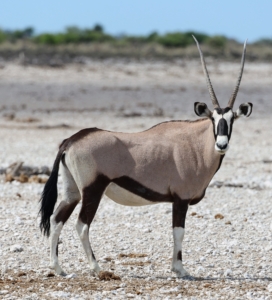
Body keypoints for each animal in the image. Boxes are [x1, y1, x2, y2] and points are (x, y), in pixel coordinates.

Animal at [38, 36, 253, 278]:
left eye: (232, 120)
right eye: (213, 119)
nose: (221, 144)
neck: (196, 144)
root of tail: (70, 140)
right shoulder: (181, 198)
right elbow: (179, 232)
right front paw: (179, 269)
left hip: (72, 191)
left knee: (56, 219)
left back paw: (58, 268)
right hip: (93, 189)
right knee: (82, 225)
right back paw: (97, 268)